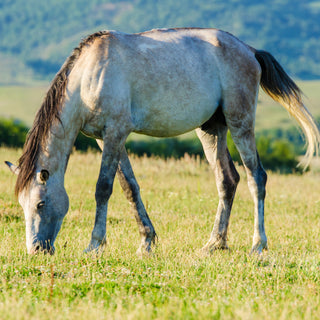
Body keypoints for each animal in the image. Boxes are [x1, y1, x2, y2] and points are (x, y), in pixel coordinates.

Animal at [5, 28, 320, 256]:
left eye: (40, 204)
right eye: (22, 204)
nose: (36, 250)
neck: (89, 76)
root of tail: (250, 51)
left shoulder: (115, 132)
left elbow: (103, 188)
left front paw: (95, 245)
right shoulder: (105, 139)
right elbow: (129, 187)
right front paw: (146, 241)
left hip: (240, 122)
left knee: (257, 178)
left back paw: (258, 245)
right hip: (211, 129)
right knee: (227, 180)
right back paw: (215, 244)